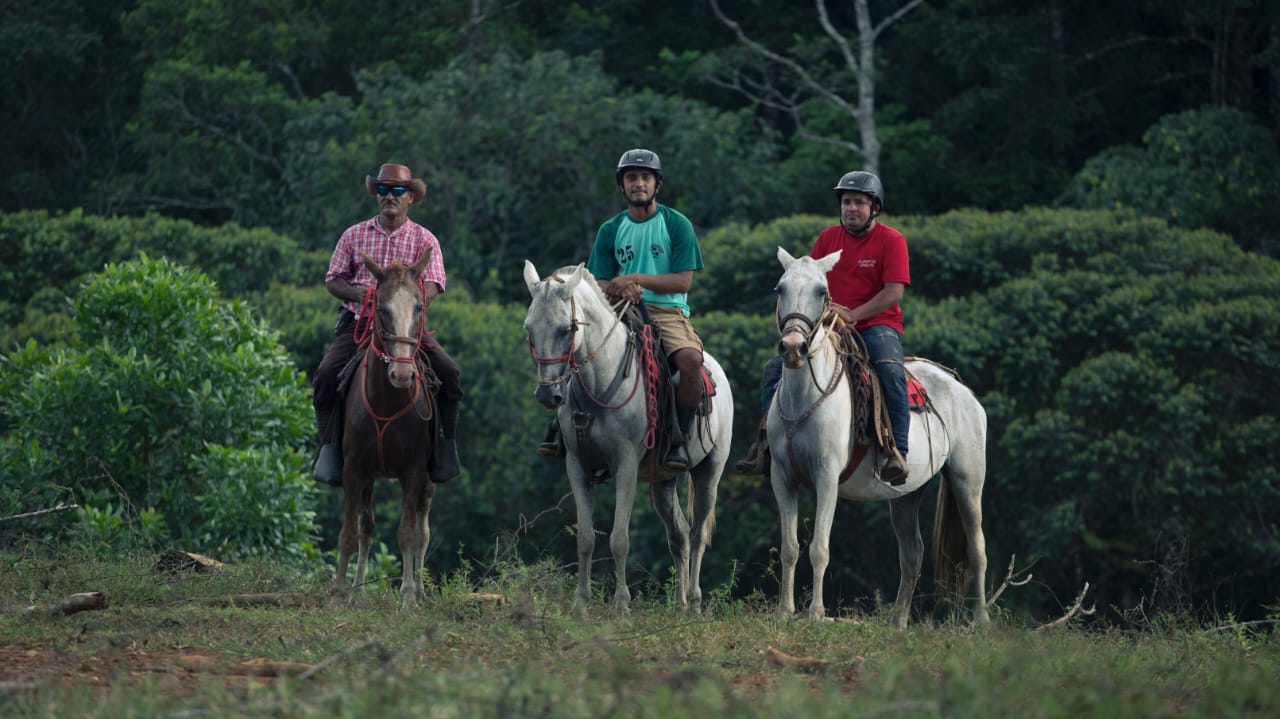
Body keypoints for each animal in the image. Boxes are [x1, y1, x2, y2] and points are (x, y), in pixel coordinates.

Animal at [333, 250, 439, 609]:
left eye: (419, 307)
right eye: (380, 308)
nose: (402, 375)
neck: (387, 400)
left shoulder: (414, 471)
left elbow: (408, 534)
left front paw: (407, 599)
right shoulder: (354, 469)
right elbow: (351, 533)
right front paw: (341, 593)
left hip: (428, 481)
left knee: (422, 531)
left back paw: (419, 593)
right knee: (367, 528)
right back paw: (358, 589)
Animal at [522, 261, 734, 616]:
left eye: (566, 329)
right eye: (529, 329)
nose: (548, 395)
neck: (598, 385)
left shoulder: (626, 466)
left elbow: (619, 538)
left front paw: (622, 606)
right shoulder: (576, 467)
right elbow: (585, 539)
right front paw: (580, 605)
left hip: (709, 472)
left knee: (697, 534)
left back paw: (693, 604)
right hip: (663, 481)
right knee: (678, 534)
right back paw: (678, 604)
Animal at [769, 247, 990, 629]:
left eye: (821, 291)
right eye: (781, 288)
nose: (794, 348)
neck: (804, 397)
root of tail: (963, 390)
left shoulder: (827, 476)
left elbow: (819, 548)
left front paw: (815, 613)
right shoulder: (782, 477)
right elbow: (790, 547)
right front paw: (785, 611)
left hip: (968, 479)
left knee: (977, 549)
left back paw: (982, 622)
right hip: (906, 494)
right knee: (912, 555)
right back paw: (899, 624)